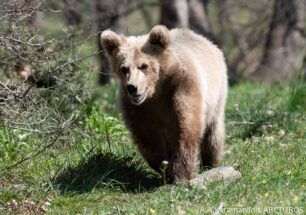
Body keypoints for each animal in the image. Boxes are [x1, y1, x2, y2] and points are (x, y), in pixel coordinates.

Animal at [100, 25, 227, 183]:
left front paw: (180, 173)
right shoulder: (139, 108)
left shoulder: (182, 88)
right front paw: (164, 167)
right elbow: (147, 136)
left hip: (216, 94)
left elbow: (185, 127)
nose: (132, 87)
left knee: (213, 133)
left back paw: (211, 162)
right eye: (124, 68)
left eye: (143, 66)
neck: (157, 91)